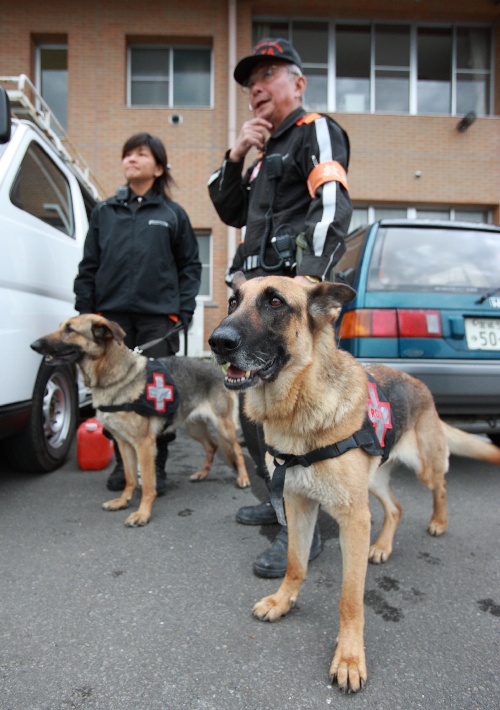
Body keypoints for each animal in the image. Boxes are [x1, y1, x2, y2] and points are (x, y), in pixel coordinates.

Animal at [31, 318, 250, 528]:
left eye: (70, 330)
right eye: (61, 327)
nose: (34, 345)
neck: (115, 376)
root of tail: (218, 370)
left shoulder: (144, 444)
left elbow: (146, 483)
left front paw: (142, 514)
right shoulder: (124, 443)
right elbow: (130, 477)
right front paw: (123, 501)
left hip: (223, 427)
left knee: (237, 449)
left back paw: (243, 478)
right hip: (193, 427)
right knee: (212, 445)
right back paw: (202, 473)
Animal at [208, 274, 500, 696]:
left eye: (275, 302)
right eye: (233, 302)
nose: (217, 341)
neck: (300, 408)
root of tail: (418, 383)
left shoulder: (353, 519)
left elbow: (350, 599)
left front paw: (348, 657)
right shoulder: (299, 505)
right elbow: (295, 564)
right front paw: (283, 601)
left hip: (417, 469)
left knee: (439, 486)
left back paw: (438, 522)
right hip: (372, 483)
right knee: (396, 507)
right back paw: (382, 547)